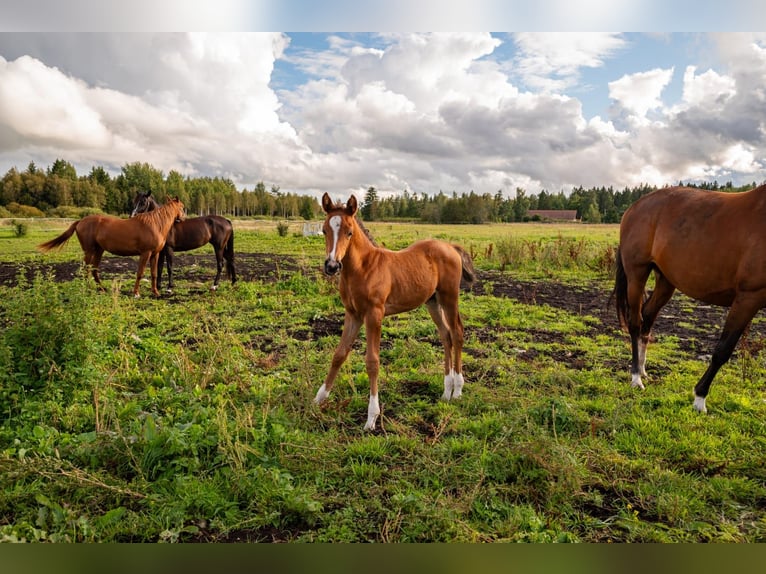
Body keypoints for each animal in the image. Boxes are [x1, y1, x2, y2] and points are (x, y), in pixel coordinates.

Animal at [38, 197, 185, 298]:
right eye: (182, 207)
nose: (183, 218)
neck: (155, 224)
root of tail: (80, 221)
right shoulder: (145, 253)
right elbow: (140, 273)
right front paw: (136, 293)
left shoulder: (155, 254)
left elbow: (154, 273)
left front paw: (155, 292)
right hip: (89, 251)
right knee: (87, 269)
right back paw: (89, 289)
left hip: (99, 250)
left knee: (94, 270)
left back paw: (102, 289)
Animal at [314, 192, 476, 430]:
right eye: (325, 230)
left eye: (349, 231)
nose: (332, 266)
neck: (363, 268)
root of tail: (450, 247)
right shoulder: (352, 314)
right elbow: (339, 354)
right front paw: (319, 398)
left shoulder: (374, 314)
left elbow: (372, 362)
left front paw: (372, 417)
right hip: (432, 302)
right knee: (445, 335)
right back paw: (446, 392)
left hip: (449, 297)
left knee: (457, 333)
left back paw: (457, 390)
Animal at [613, 183, 766, 413]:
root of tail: (635, 206)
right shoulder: (748, 297)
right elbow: (723, 350)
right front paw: (700, 398)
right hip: (636, 275)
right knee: (635, 323)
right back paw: (635, 377)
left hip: (666, 281)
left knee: (647, 316)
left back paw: (642, 368)